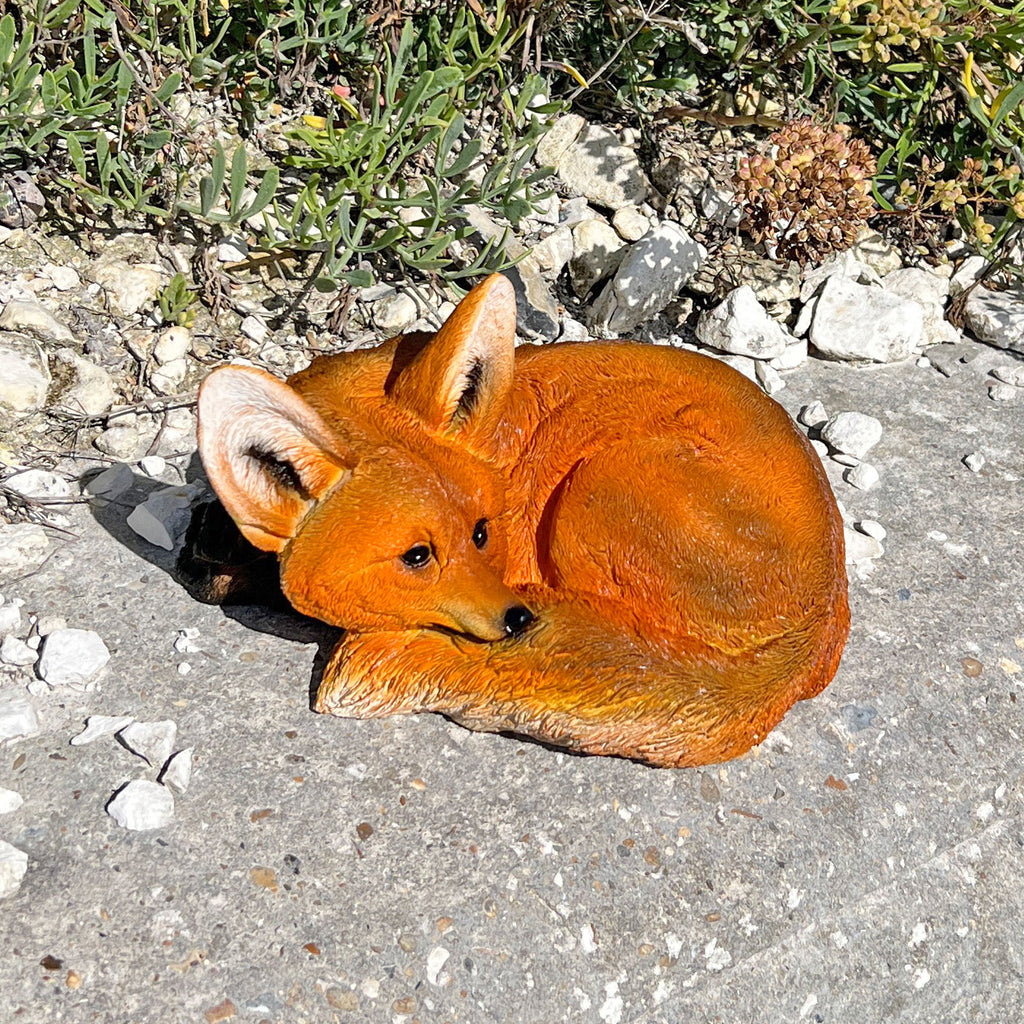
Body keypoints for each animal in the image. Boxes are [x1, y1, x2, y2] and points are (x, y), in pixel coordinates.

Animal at [191, 273, 849, 768]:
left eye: (482, 533)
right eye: (417, 556)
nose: (518, 620)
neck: (504, 451)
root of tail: (820, 628)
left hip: (596, 490)